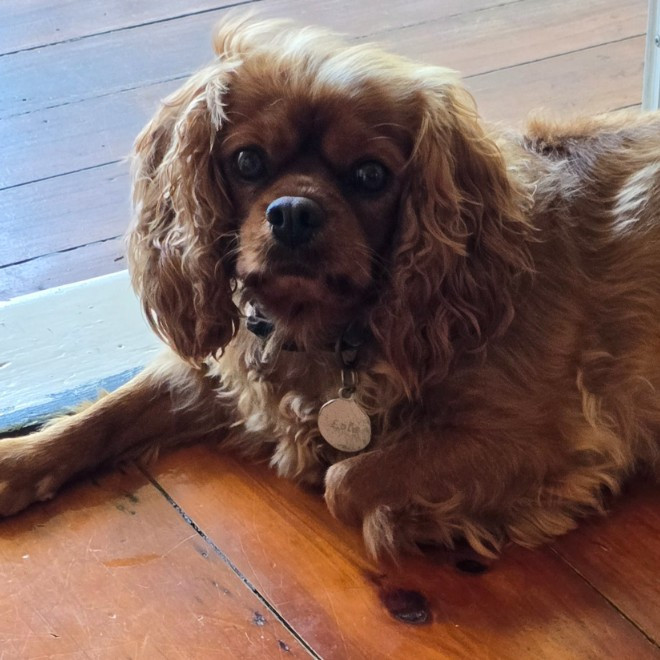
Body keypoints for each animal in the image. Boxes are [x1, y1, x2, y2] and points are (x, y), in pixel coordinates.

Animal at [1, 16, 659, 560]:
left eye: (370, 175)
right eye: (247, 161)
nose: (293, 211)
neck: (325, 328)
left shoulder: (539, 439)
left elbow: (346, 483)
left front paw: (416, 521)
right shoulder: (228, 367)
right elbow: (113, 410)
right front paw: (18, 461)